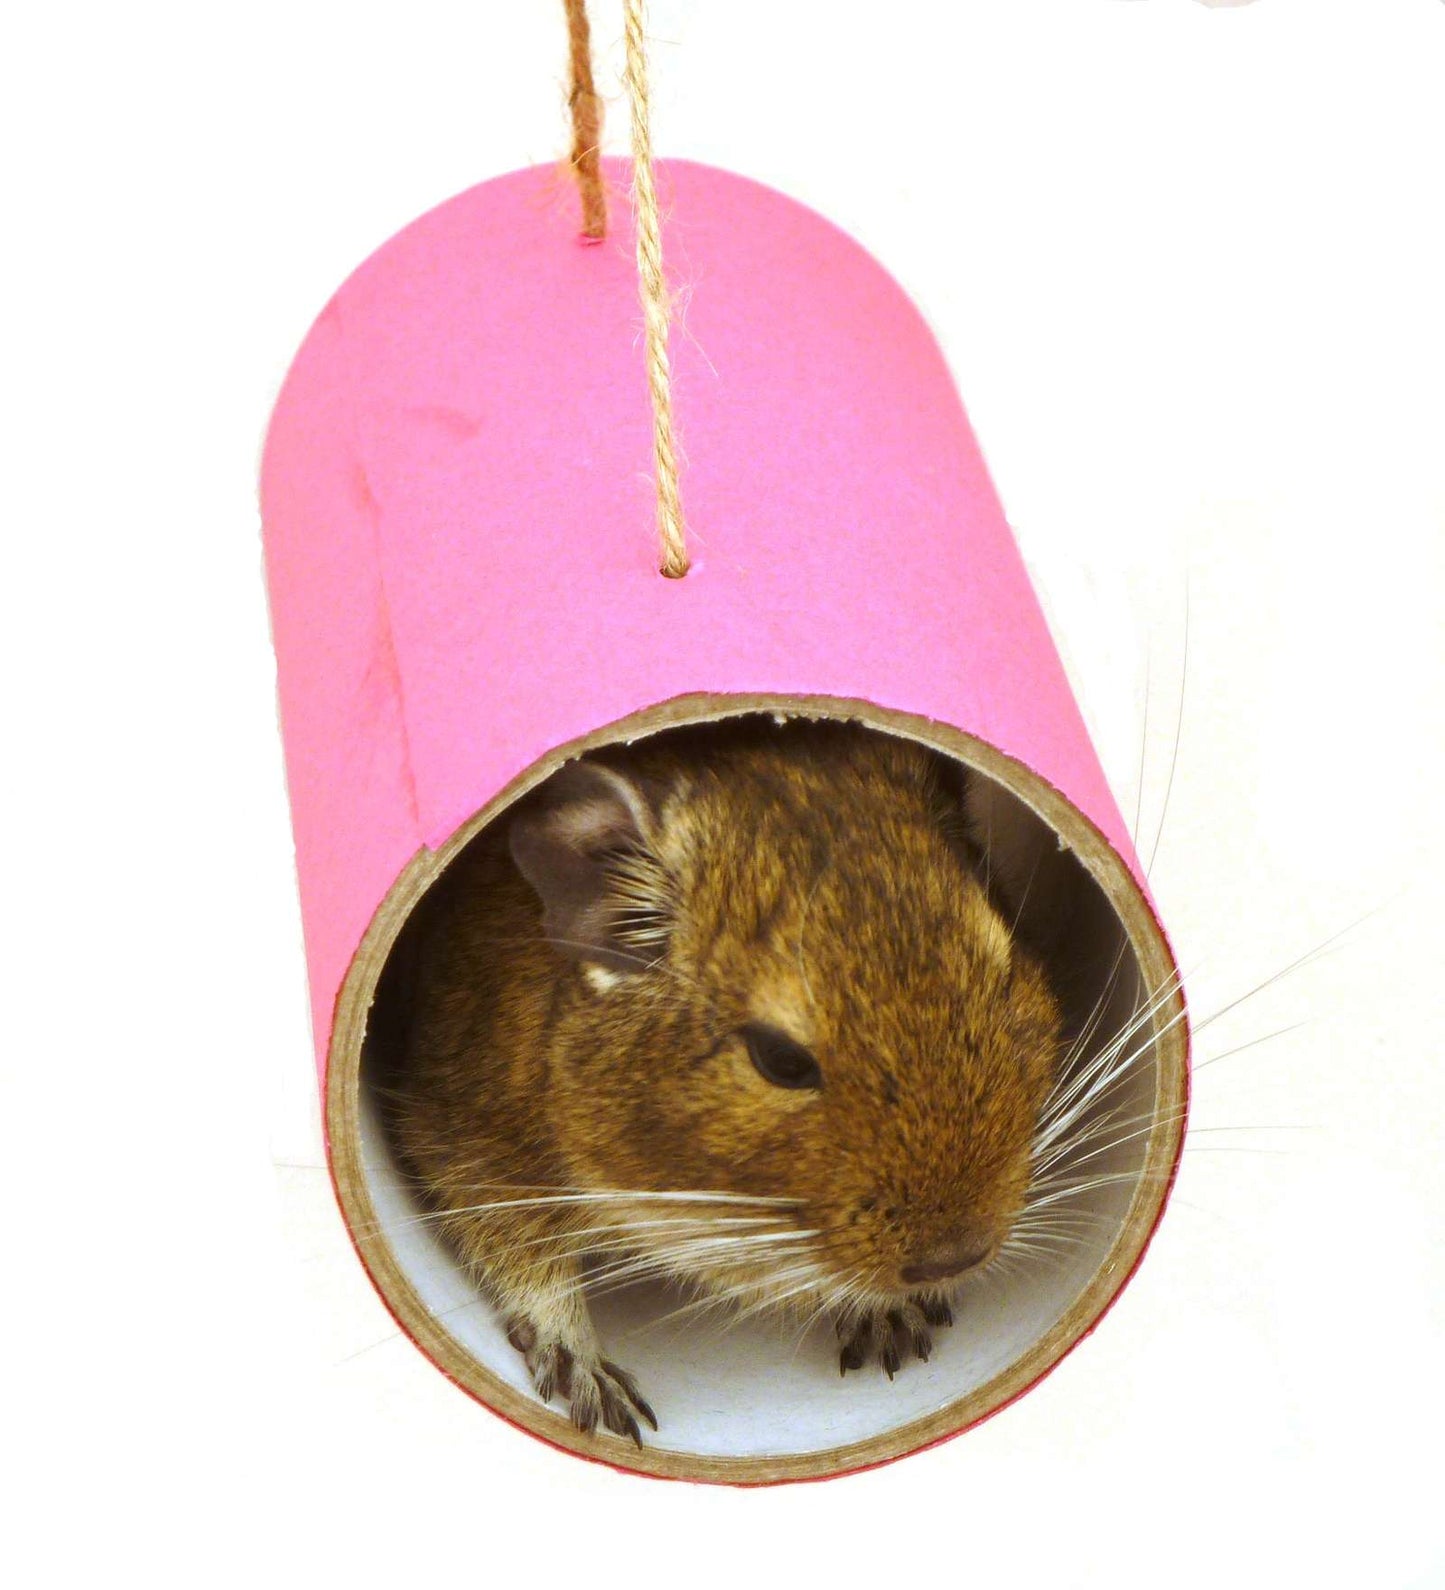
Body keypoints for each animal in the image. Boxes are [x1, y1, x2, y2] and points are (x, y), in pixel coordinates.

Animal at [390, 718, 1064, 1447]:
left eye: (1003, 978)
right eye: (780, 1060)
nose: (956, 1260)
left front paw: (894, 1323)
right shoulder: (466, 1129)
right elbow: (520, 1256)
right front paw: (596, 1391)